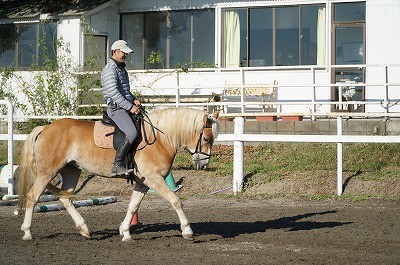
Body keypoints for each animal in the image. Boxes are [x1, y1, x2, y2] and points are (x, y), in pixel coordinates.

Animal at [16, 107, 219, 241]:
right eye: (206, 138)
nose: (203, 164)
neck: (160, 139)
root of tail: (45, 128)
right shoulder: (154, 180)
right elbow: (176, 200)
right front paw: (187, 231)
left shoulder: (143, 182)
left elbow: (133, 206)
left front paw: (125, 232)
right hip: (47, 172)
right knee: (32, 197)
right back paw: (27, 232)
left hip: (72, 170)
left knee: (65, 198)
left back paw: (84, 229)